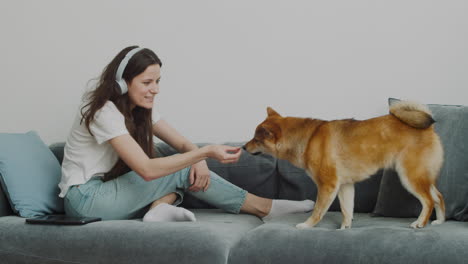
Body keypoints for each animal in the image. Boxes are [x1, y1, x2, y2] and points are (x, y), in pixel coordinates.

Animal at [245, 101, 446, 229]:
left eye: (256, 139)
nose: (244, 147)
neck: (308, 139)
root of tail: (428, 129)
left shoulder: (328, 185)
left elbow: (318, 211)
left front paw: (306, 225)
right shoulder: (345, 185)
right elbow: (347, 211)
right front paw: (344, 229)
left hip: (409, 176)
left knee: (428, 201)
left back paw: (420, 223)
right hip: (422, 177)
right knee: (438, 197)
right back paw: (439, 221)